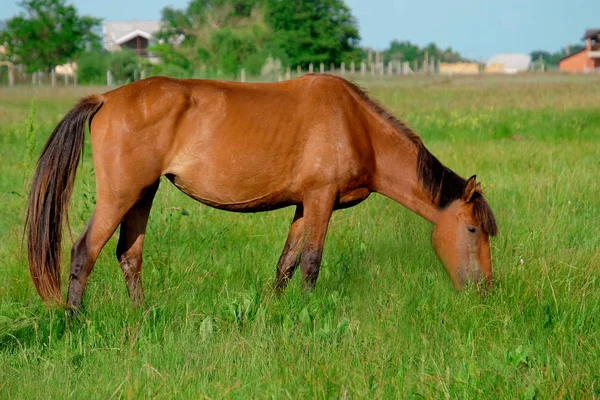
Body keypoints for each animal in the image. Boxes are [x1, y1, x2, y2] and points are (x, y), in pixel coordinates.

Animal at [27, 73, 496, 308]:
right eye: (473, 230)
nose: (485, 291)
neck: (355, 125)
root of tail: (105, 98)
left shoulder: (305, 205)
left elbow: (285, 264)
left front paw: (274, 311)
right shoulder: (321, 200)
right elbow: (311, 263)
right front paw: (308, 313)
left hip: (143, 195)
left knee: (129, 255)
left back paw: (142, 315)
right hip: (120, 196)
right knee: (84, 251)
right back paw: (74, 320)